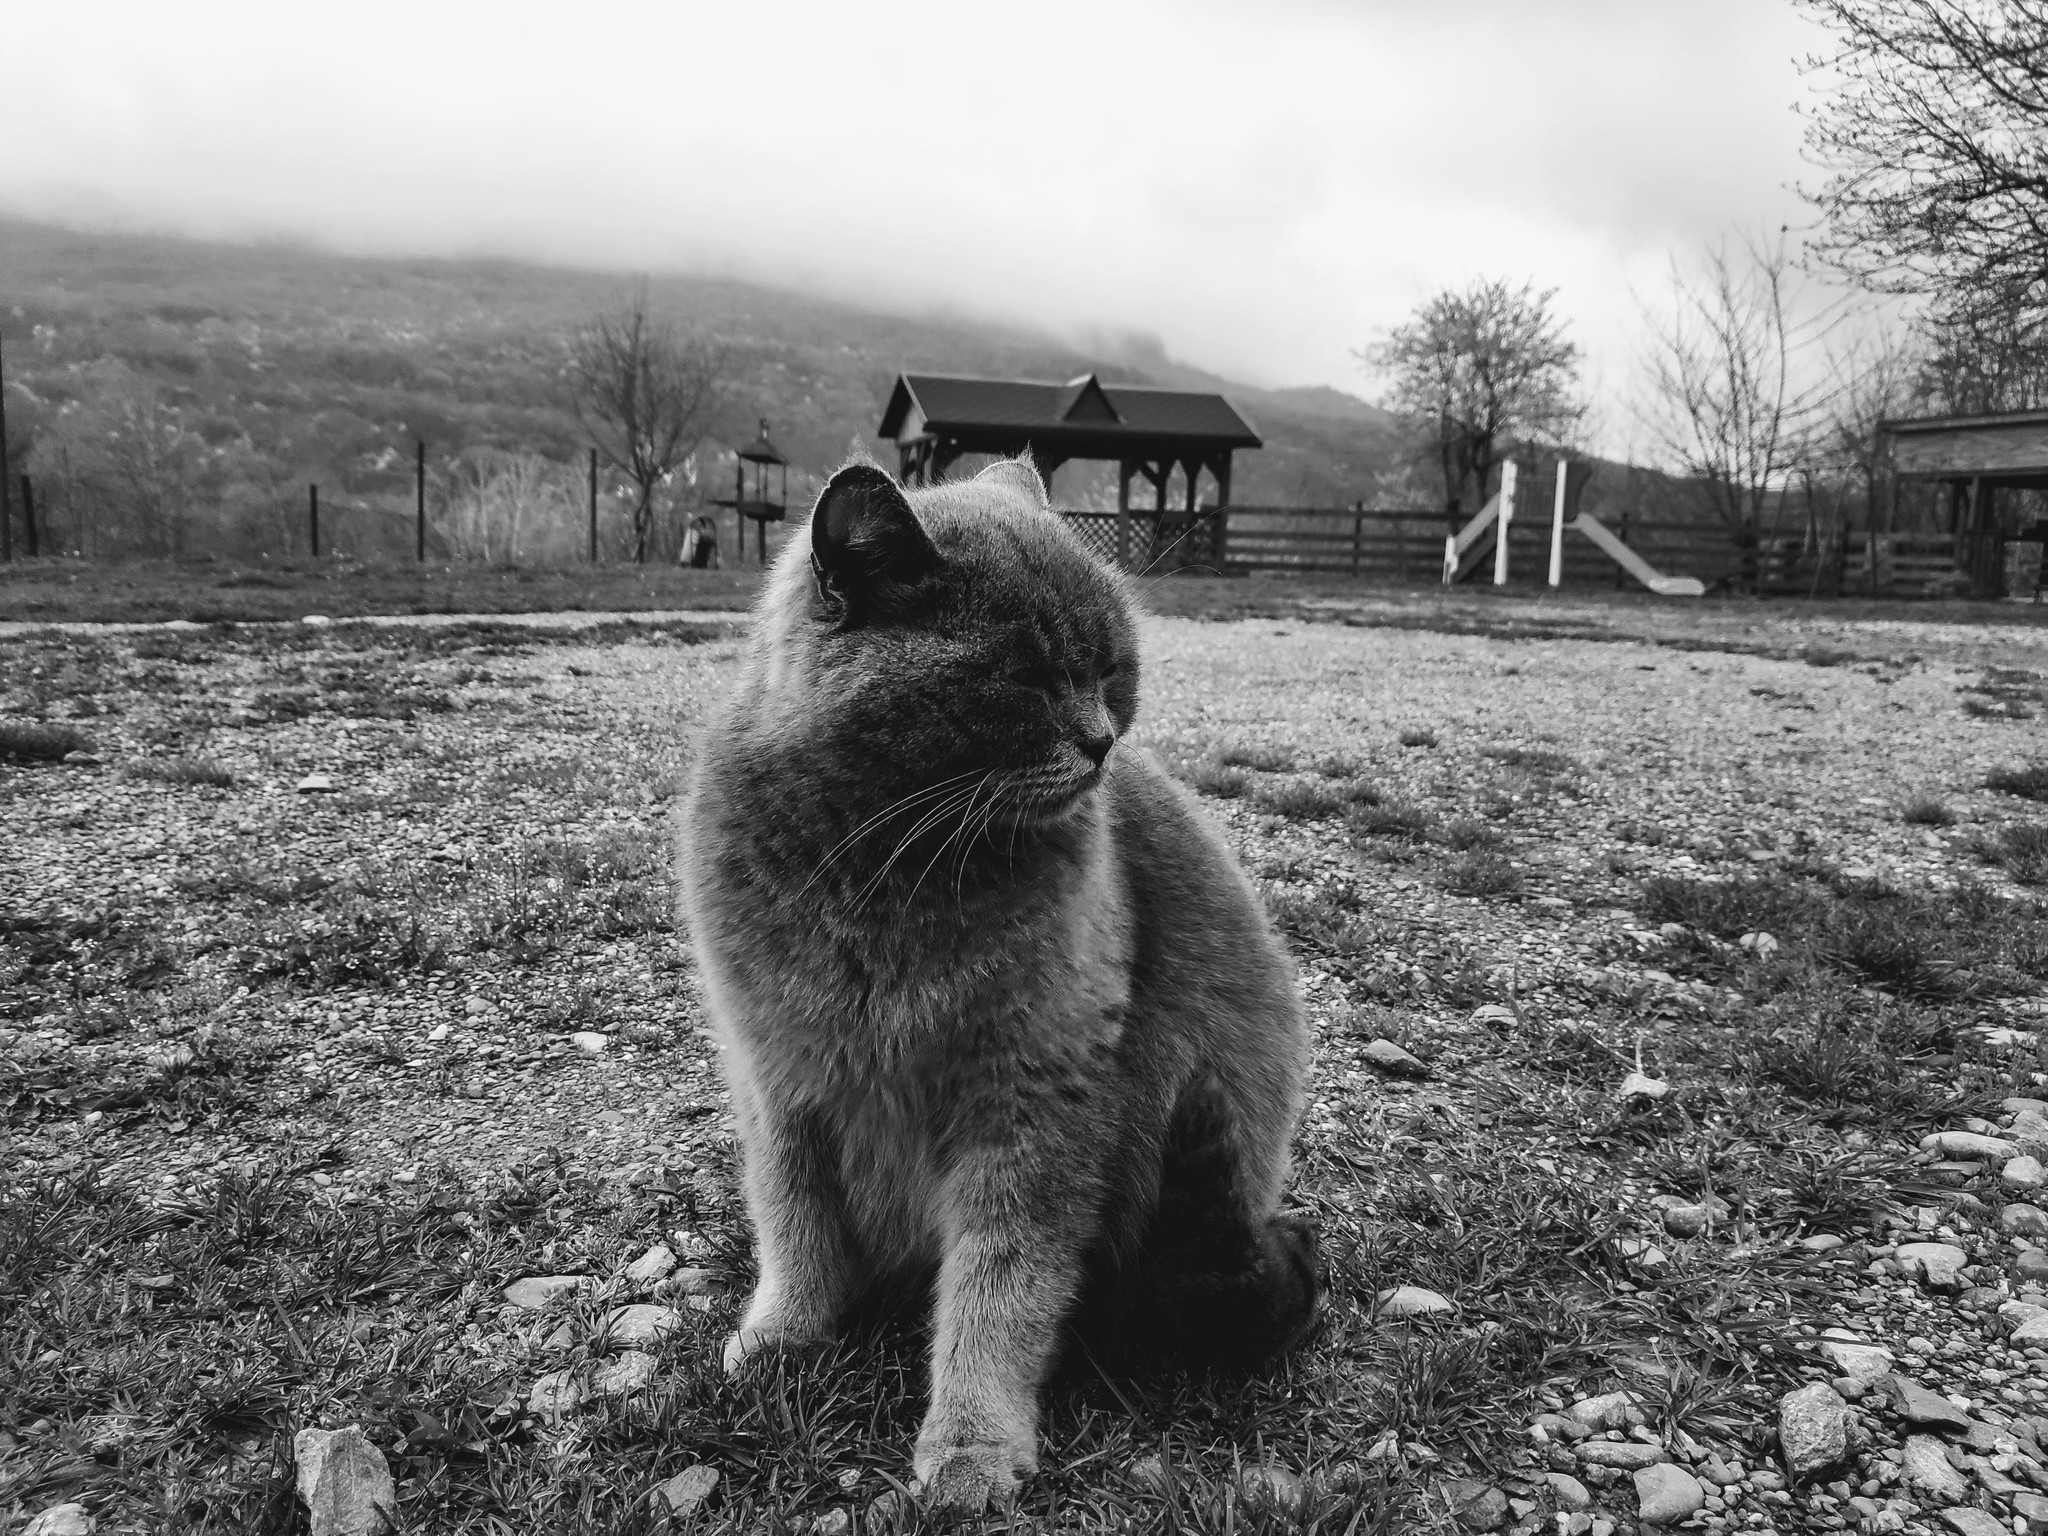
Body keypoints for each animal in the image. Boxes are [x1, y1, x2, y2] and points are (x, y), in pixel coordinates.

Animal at [679, 456, 1318, 1515]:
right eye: (1025, 676)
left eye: (1112, 669)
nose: (1101, 741)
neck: (889, 873)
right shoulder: (778, 1079)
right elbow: (794, 1224)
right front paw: (781, 1338)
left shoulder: (1035, 1104)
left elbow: (1002, 1284)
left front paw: (973, 1444)